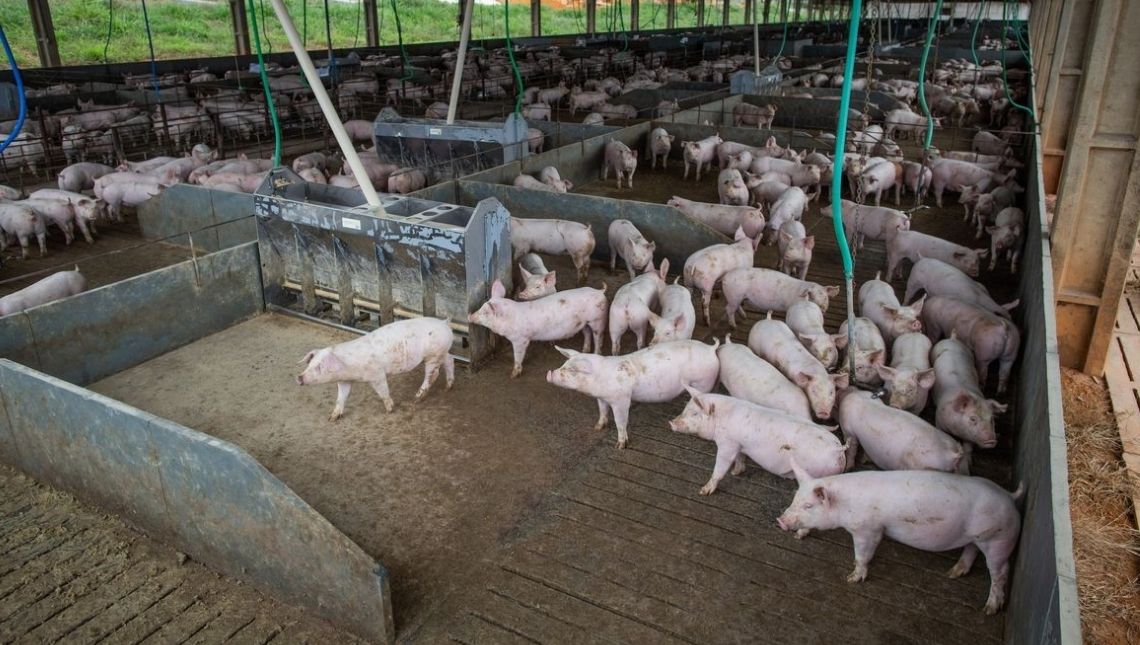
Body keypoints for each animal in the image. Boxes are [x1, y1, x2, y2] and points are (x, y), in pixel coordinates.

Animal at [296, 319, 456, 419]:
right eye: (309, 364)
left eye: (319, 367)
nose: (299, 377)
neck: (348, 368)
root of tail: (444, 323)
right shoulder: (344, 381)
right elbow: (341, 397)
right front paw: (332, 418)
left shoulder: (377, 374)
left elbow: (383, 391)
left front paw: (389, 410)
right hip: (442, 352)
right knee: (450, 360)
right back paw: (448, 387)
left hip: (433, 355)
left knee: (432, 374)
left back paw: (417, 398)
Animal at [467, 278, 611, 378]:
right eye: (481, 307)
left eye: (485, 312)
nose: (469, 315)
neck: (510, 319)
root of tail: (599, 291)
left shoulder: (521, 339)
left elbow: (518, 355)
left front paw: (513, 375)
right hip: (584, 323)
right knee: (587, 333)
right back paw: (584, 350)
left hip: (598, 319)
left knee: (598, 337)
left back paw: (596, 352)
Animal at [665, 389, 848, 494]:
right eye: (685, 409)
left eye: (695, 414)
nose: (671, 422)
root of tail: (837, 449)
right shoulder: (740, 445)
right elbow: (740, 458)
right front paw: (736, 472)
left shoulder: (728, 444)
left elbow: (721, 466)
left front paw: (703, 491)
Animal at [775, 464, 1026, 615]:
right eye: (795, 499)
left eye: (809, 506)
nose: (780, 520)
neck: (845, 505)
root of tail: (1009, 496)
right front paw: (799, 535)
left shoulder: (868, 530)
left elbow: (862, 555)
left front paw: (852, 579)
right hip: (978, 538)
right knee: (971, 550)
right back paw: (953, 573)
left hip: (998, 540)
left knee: (1001, 571)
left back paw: (989, 609)